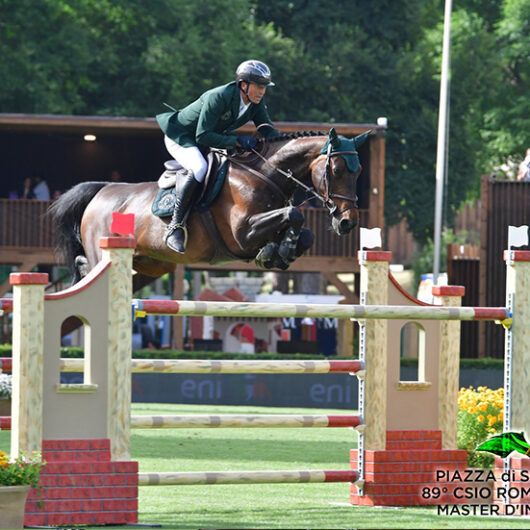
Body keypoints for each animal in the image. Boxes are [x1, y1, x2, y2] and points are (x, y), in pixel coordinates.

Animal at [49, 128, 368, 292]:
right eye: (337, 170)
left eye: (359, 171)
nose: (348, 222)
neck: (265, 174)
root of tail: (101, 191)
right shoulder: (242, 234)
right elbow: (295, 215)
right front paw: (278, 251)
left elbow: (305, 233)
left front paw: (279, 253)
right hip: (105, 250)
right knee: (88, 266)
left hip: (147, 262)